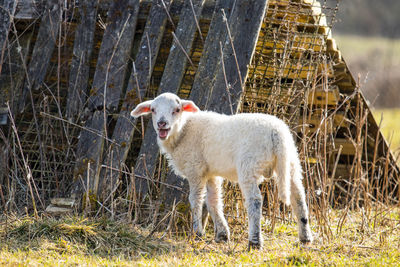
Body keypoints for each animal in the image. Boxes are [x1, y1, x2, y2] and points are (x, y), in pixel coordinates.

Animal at [131, 92, 312, 249]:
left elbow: (196, 200)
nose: (162, 123)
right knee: (299, 197)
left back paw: (254, 241)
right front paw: (222, 235)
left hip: (249, 165)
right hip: (291, 163)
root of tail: (276, 134)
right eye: (153, 110)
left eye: (176, 110)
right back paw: (305, 237)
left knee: (255, 201)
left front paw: (197, 232)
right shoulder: (210, 172)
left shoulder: (195, 169)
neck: (184, 130)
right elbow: (213, 201)